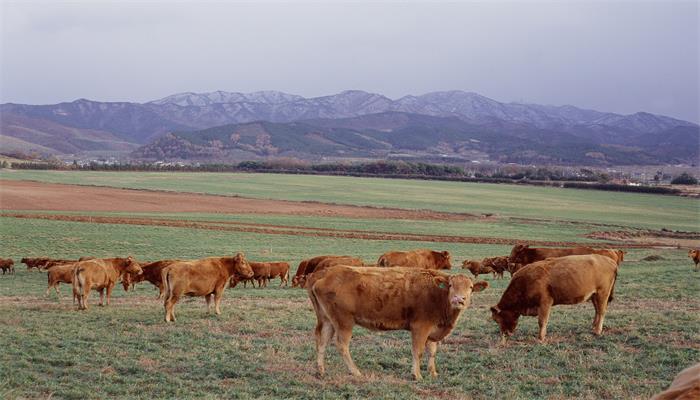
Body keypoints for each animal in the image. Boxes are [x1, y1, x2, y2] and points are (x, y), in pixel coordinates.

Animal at [308, 268, 490, 380]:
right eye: (451, 285)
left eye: (471, 287)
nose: (458, 299)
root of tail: (324, 273)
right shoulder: (420, 328)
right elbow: (418, 351)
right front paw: (417, 375)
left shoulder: (432, 331)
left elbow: (432, 352)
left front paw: (433, 373)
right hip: (344, 321)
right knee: (342, 345)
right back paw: (356, 371)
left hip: (328, 320)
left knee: (322, 341)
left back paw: (321, 370)